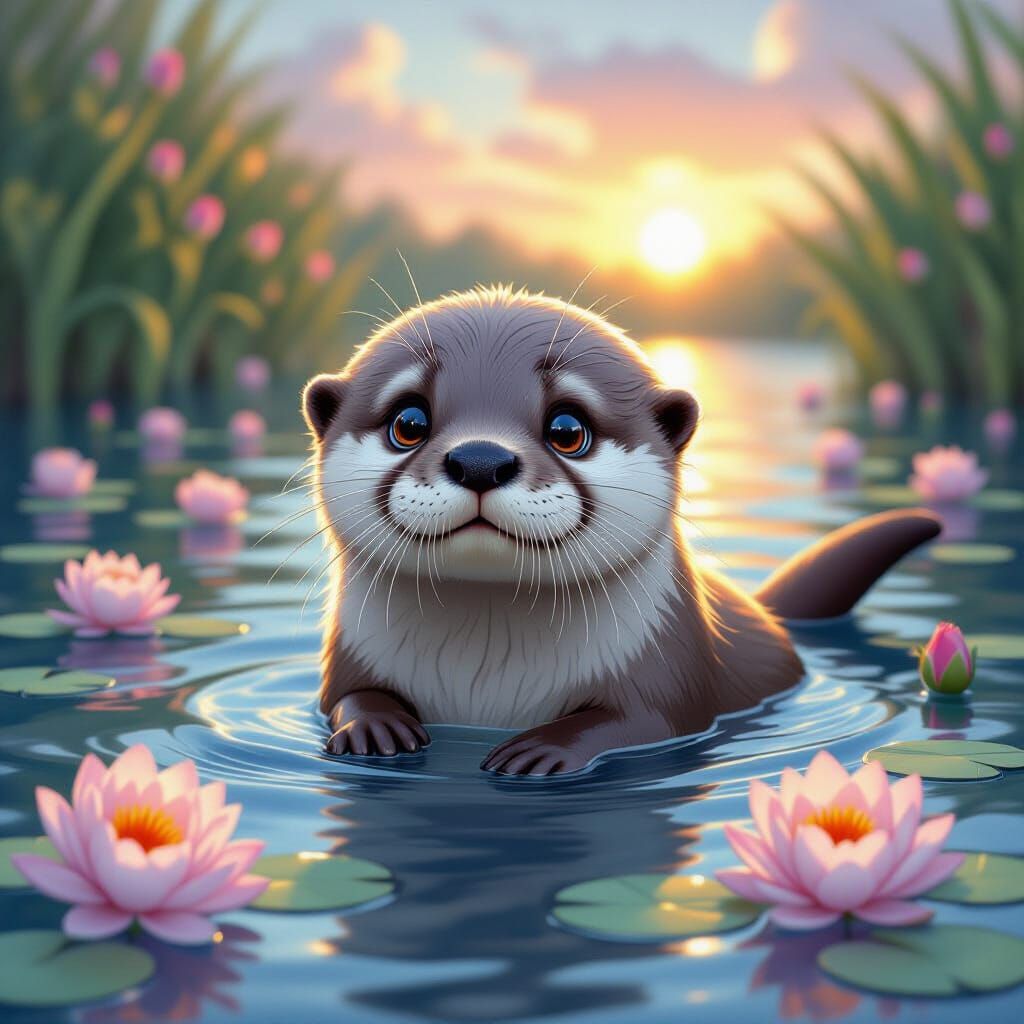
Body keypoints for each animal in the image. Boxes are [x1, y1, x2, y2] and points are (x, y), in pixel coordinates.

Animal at [301, 286, 939, 776]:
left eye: (567, 429)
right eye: (408, 422)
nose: (481, 459)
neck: (484, 677)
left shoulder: (669, 669)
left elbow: (641, 720)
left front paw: (543, 749)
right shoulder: (349, 654)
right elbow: (345, 697)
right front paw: (375, 726)